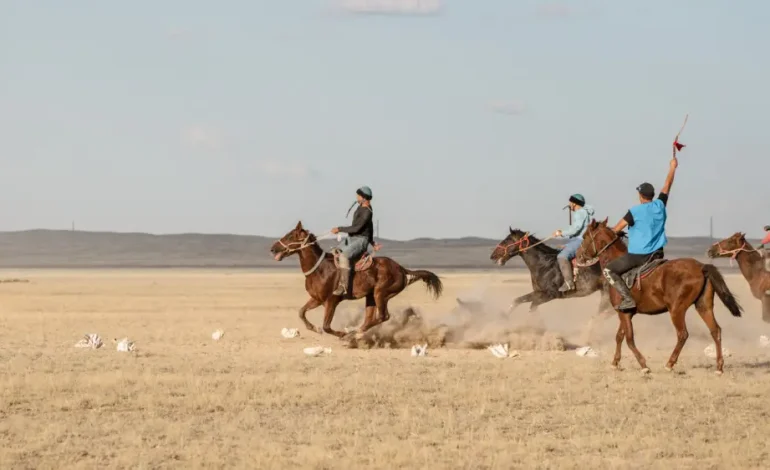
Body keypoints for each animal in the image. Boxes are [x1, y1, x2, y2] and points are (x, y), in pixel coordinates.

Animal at [270, 221, 440, 338]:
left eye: (290, 236)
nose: (272, 248)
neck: (320, 269)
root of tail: (402, 269)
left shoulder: (332, 301)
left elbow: (326, 326)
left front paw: (341, 334)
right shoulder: (317, 299)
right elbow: (301, 312)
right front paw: (315, 328)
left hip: (381, 294)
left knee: (383, 316)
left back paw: (354, 332)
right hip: (371, 297)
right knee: (371, 318)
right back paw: (356, 331)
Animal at [580, 218, 740, 374]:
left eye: (585, 236)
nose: (579, 256)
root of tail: (701, 266)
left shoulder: (623, 313)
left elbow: (629, 339)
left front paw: (643, 365)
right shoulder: (625, 312)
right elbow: (620, 336)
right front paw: (615, 362)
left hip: (676, 310)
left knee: (683, 334)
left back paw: (669, 364)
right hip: (703, 306)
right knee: (715, 331)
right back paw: (719, 367)